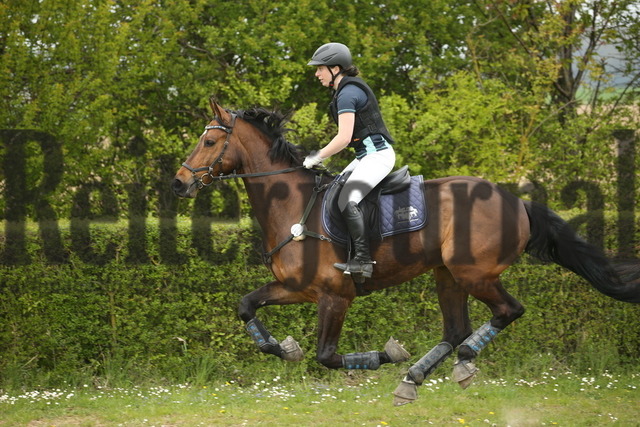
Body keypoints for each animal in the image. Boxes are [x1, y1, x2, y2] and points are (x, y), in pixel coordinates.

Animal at [174, 98, 640, 406]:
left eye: (210, 141)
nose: (179, 183)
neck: (293, 205)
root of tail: (516, 202)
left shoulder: (335, 297)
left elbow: (327, 356)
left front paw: (388, 354)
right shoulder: (295, 288)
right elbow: (246, 306)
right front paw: (284, 348)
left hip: (474, 273)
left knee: (507, 311)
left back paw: (460, 364)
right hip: (446, 274)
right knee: (455, 328)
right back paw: (413, 377)